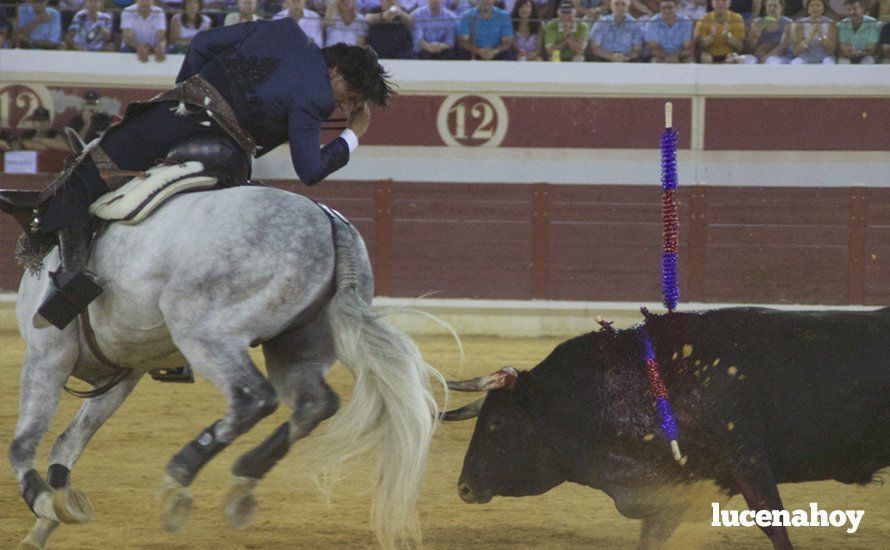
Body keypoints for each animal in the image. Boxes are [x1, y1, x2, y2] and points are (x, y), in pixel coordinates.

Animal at [5, 187, 438, 550]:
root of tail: (329, 222)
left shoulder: (47, 355)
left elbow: (22, 444)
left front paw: (44, 502)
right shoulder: (123, 375)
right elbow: (67, 442)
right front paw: (52, 516)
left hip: (204, 332)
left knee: (253, 399)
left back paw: (179, 477)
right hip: (296, 349)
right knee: (315, 404)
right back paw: (242, 480)